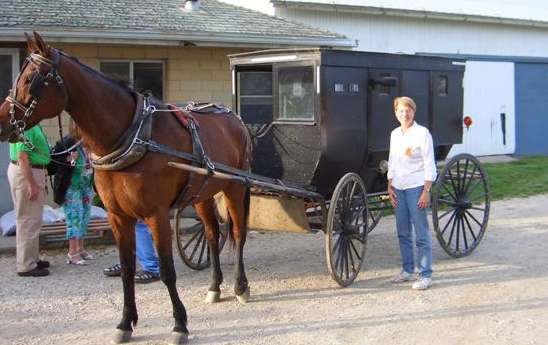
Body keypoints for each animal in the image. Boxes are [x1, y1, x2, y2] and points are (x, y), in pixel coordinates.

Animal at [0, 31, 252, 342]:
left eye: (31, 79)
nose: (2, 121)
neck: (133, 135)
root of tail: (234, 118)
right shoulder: (118, 216)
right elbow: (128, 269)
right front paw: (125, 323)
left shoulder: (156, 215)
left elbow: (167, 271)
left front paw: (179, 324)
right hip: (202, 192)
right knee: (213, 235)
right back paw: (215, 287)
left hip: (235, 188)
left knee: (238, 233)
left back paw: (241, 287)